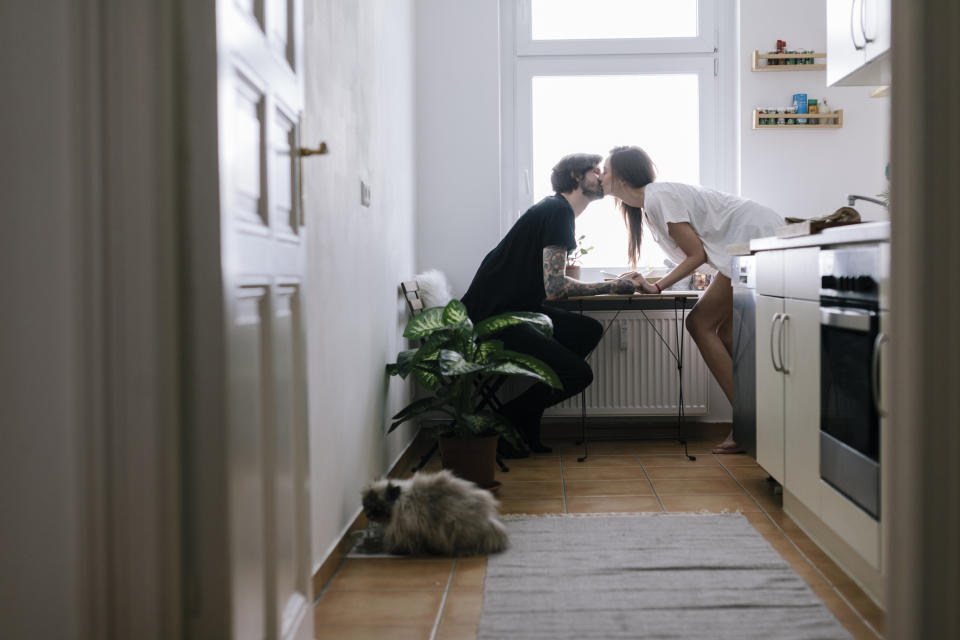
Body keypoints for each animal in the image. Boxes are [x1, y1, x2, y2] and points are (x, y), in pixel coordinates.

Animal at [360, 468, 510, 556]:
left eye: (376, 508)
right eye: (366, 505)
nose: (368, 515)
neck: (402, 502)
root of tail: (488, 522)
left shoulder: (404, 529)